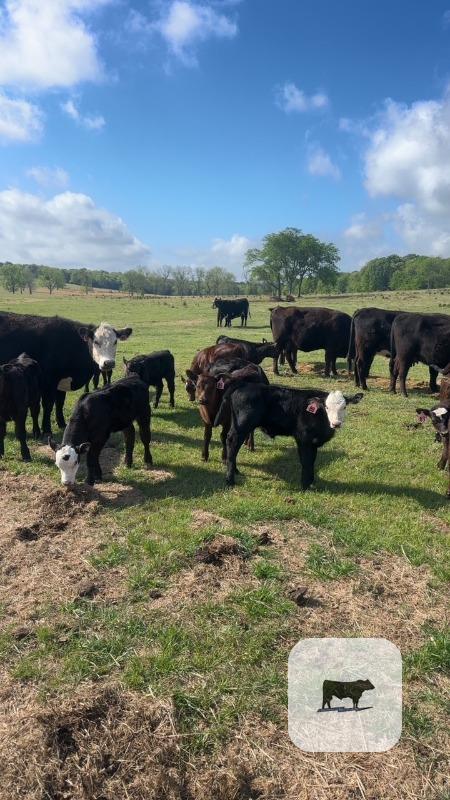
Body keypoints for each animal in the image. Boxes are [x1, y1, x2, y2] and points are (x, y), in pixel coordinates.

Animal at [0, 312, 132, 435]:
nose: (108, 363)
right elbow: (48, 405)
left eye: (115, 342)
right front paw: (47, 429)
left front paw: (62, 423)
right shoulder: (49, 382)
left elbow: (60, 402)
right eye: (96, 341)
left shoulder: (62, 381)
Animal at [214, 384, 363, 487]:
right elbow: (306, 461)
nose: (336, 423)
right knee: (232, 442)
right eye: (326, 407)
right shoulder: (303, 438)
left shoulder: (313, 442)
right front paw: (305, 485)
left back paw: (235, 471)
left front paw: (311, 482)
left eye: (344, 407)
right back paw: (230, 480)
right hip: (242, 426)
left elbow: (312, 460)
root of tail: (242, 385)